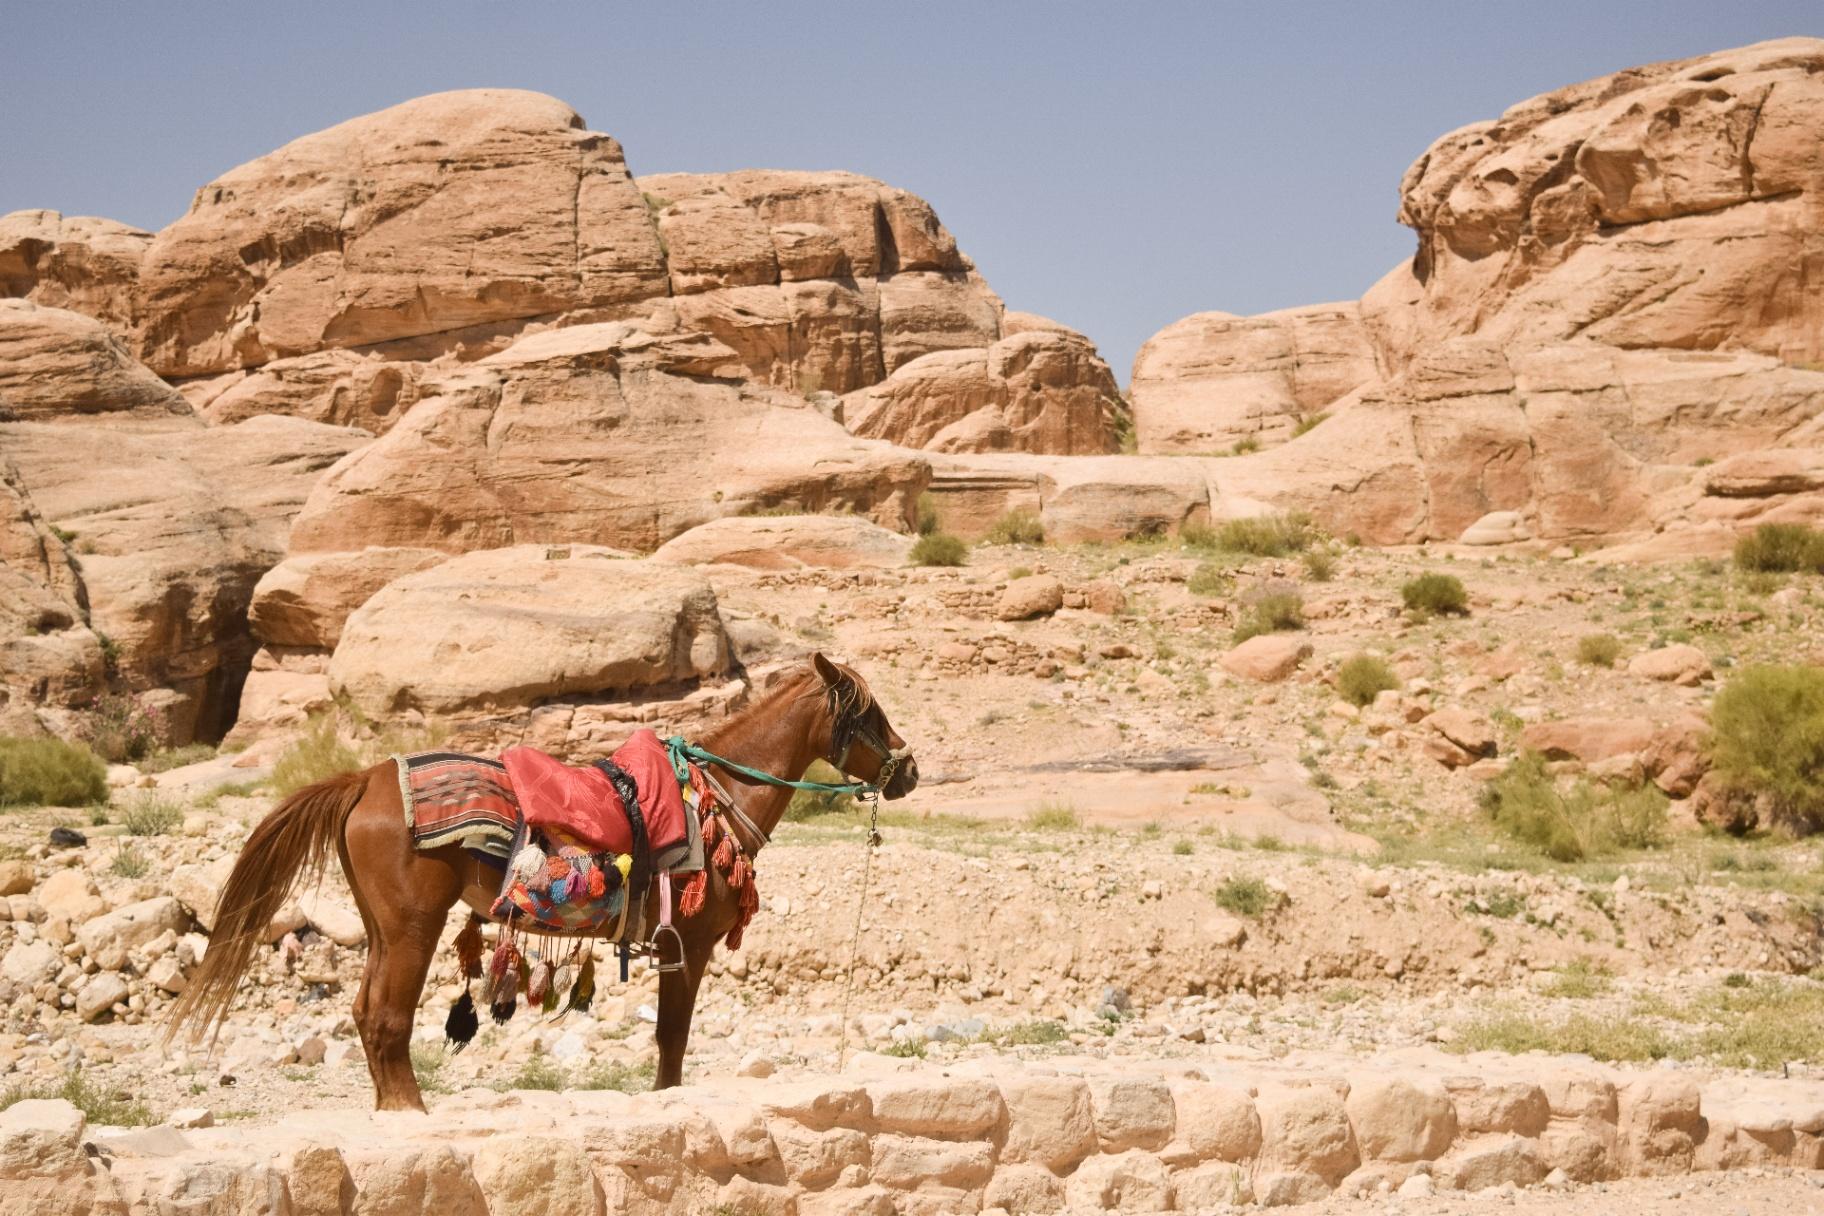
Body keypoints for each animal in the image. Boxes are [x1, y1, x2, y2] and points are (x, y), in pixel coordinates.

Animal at [166, 654, 918, 1111]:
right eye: (871, 714)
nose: (908, 771)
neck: (712, 796)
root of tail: (364, 778)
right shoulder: (689, 944)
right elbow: (672, 1038)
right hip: (412, 926)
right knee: (385, 1018)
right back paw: (411, 1113)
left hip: (383, 928)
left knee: (364, 1012)